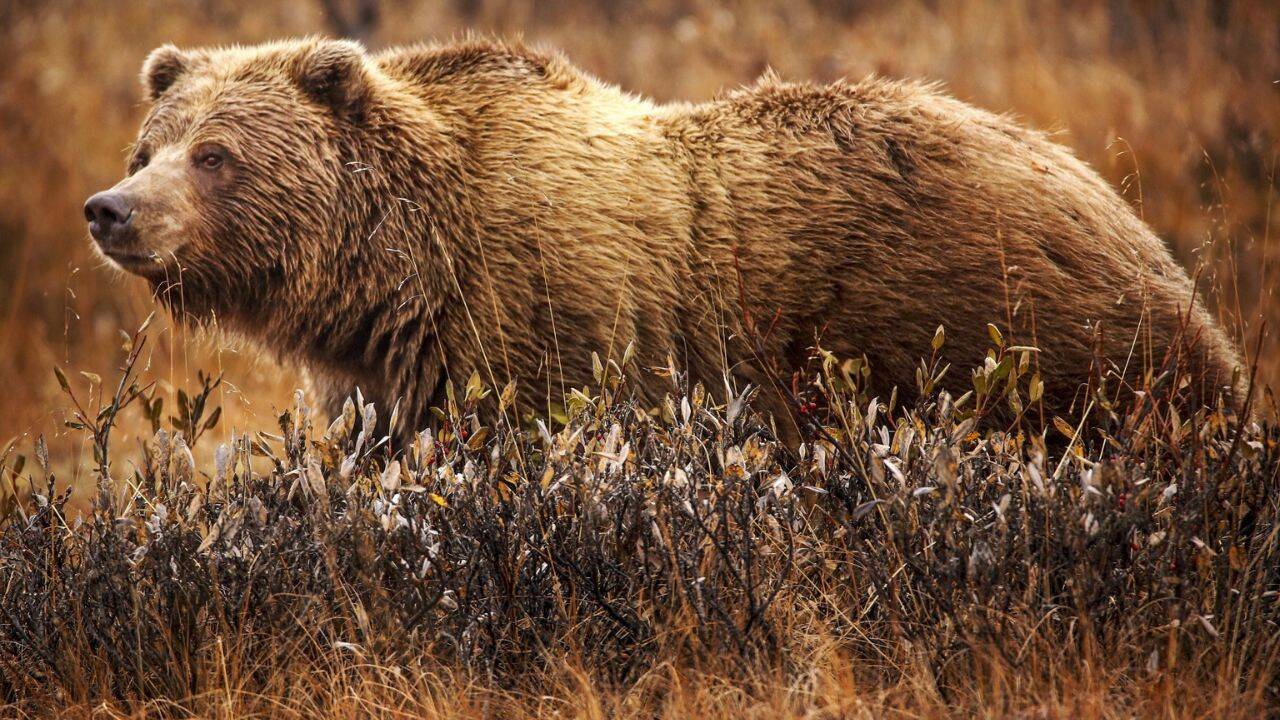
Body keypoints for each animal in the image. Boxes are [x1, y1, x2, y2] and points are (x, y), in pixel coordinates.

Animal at [84, 36, 1241, 440]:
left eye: (216, 155)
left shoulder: (544, 326)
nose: (111, 208)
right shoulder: (393, 375)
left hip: (1014, 334)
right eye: (150, 143)